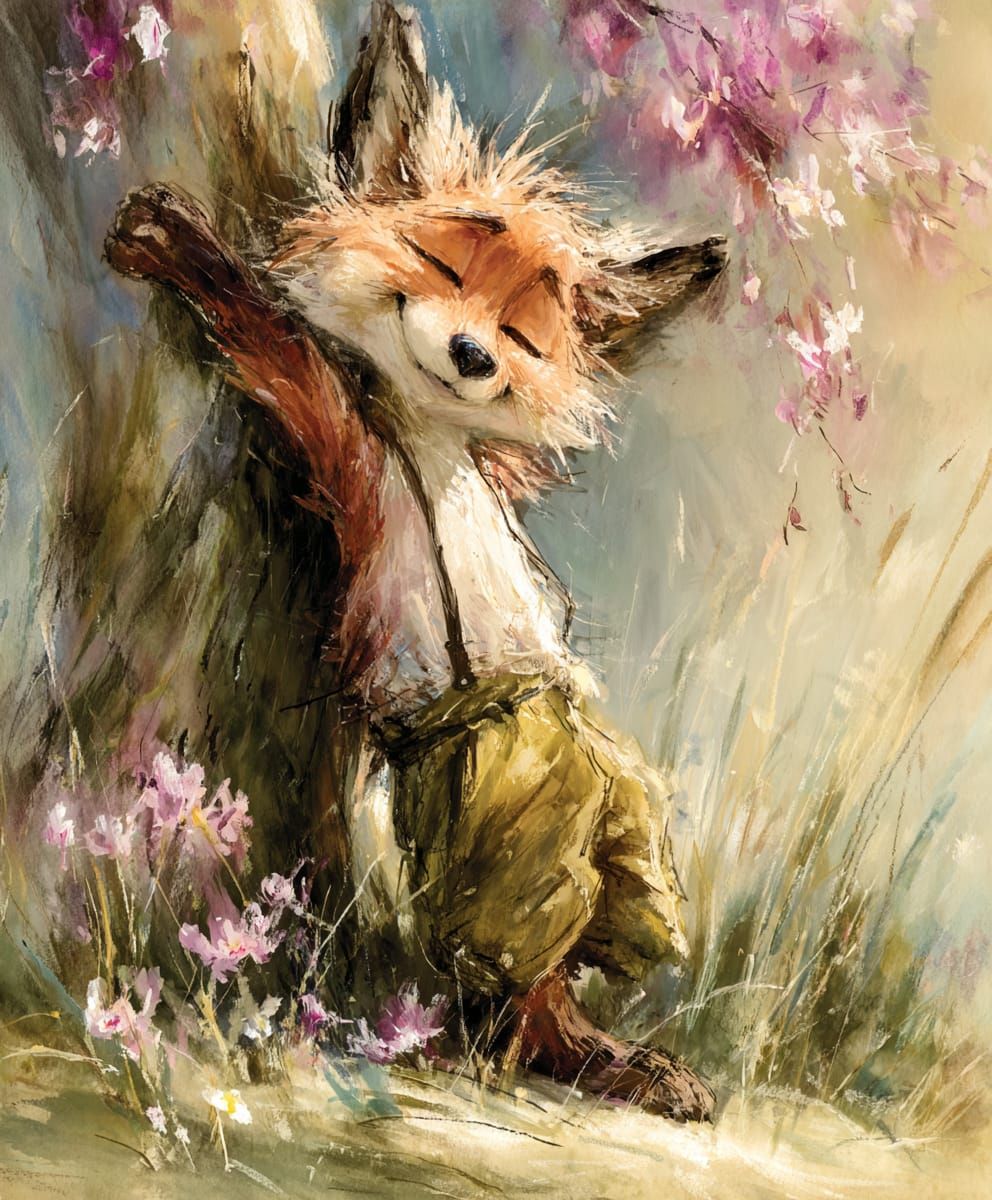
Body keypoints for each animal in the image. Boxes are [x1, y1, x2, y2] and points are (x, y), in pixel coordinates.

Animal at [106, 1, 725, 1121]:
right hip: (509, 831)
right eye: (441, 270)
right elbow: (283, 342)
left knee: (553, 973)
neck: (433, 453)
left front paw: (184, 248)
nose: (471, 356)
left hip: (603, 817)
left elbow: (277, 337)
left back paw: (590, 1057)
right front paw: (184, 247)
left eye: (522, 335)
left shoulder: (419, 451)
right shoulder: (352, 455)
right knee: (521, 960)